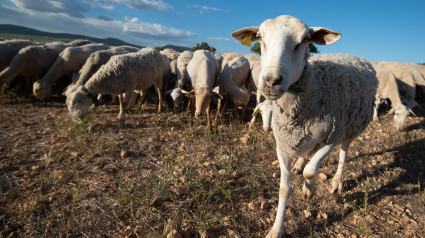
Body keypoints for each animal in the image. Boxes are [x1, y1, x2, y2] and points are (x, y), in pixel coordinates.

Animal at [232, 15, 378, 237]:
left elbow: (312, 171)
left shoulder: (331, 137)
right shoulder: (282, 145)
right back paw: (300, 164)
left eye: (305, 40)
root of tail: (355, 56)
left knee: (343, 152)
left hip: (350, 127)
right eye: (260, 37)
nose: (271, 81)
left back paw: (336, 182)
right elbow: (284, 188)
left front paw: (309, 190)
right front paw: (276, 229)